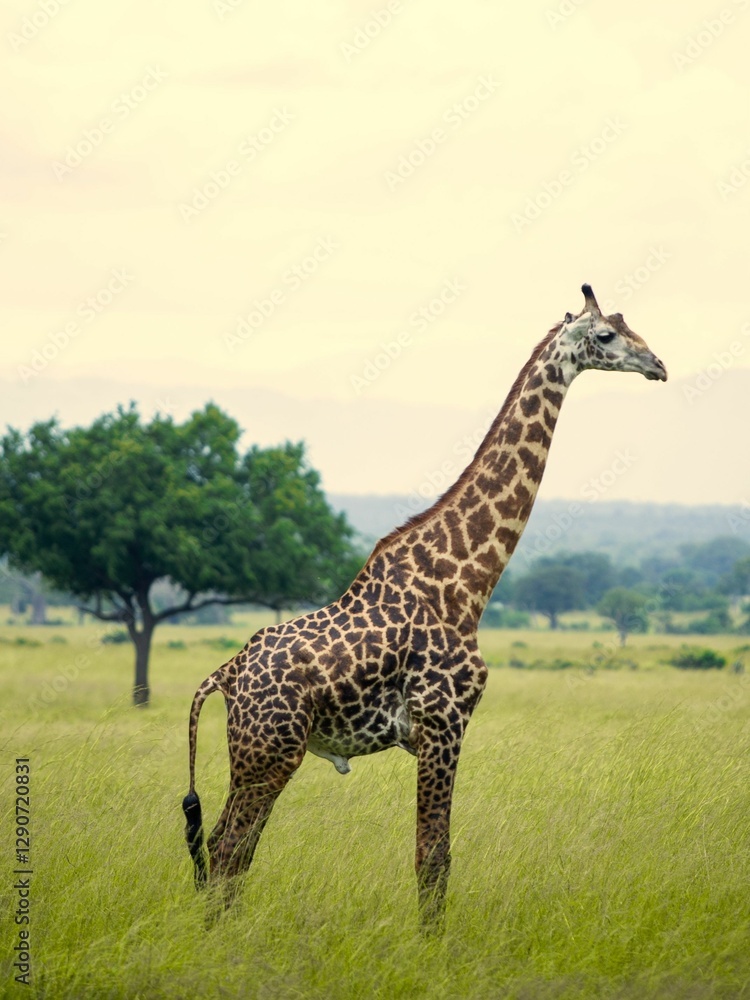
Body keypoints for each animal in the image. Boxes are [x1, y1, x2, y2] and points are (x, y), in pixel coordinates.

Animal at [182, 283, 667, 931]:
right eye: (608, 335)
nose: (659, 365)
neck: (466, 584)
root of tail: (226, 676)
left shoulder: (442, 730)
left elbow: (434, 856)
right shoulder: (443, 722)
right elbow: (433, 858)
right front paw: (431, 946)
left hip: (255, 753)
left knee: (223, 845)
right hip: (272, 750)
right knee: (231, 846)